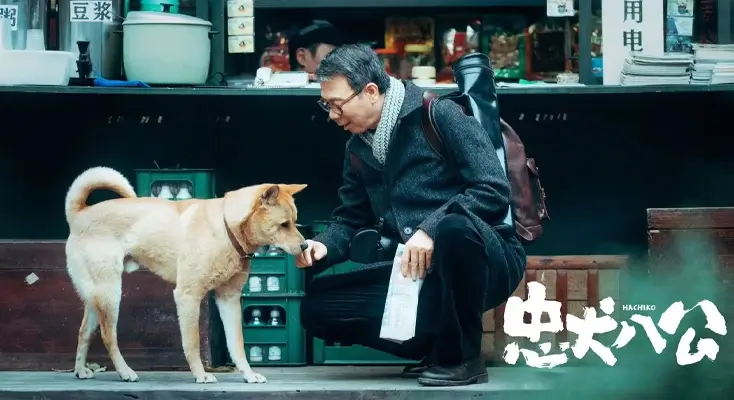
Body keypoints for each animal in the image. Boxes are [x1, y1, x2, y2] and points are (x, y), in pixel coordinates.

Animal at [64, 166, 310, 384]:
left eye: (294, 222)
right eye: (284, 224)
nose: (306, 246)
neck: (225, 228)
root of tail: (79, 213)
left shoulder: (228, 298)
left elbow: (237, 345)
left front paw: (248, 375)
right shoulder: (188, 296)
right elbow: (192, 343)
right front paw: (201, 375)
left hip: (97, 297)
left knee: (83, 332)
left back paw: (80, 371)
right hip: (110, 294)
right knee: (108, 337)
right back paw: (125, 372)